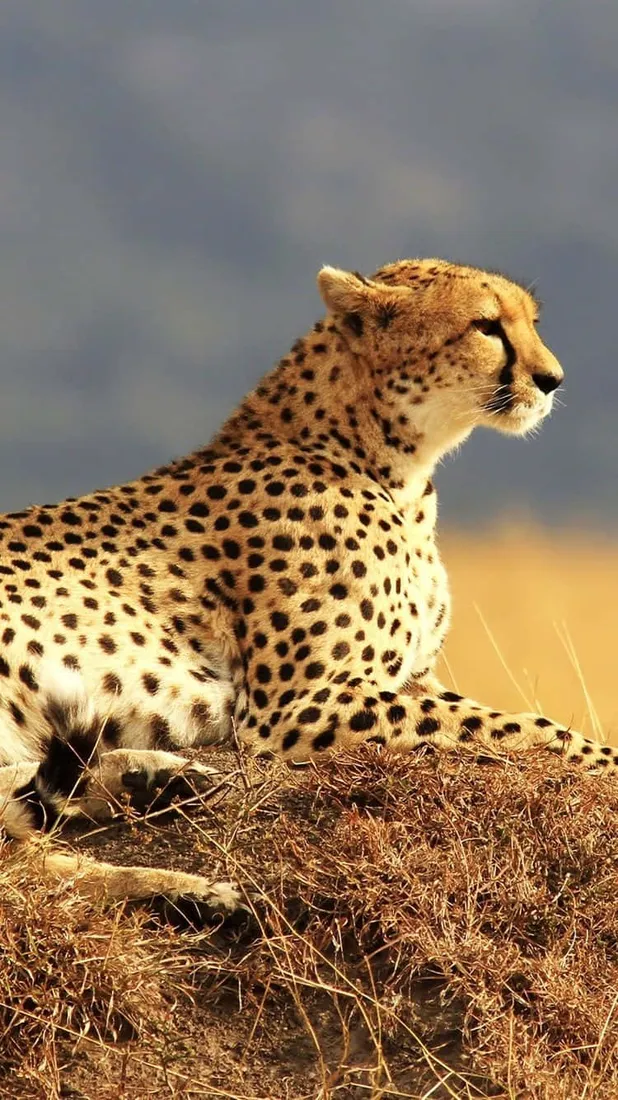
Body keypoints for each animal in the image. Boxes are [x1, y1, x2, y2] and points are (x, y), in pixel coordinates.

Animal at [1, 257, 615, 919]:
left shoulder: (409, 678)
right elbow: (521, 726)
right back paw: (187, 884)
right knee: (23, 868)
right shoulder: (296, 708)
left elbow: (499, 717)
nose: (552, 380)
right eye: (486, 326)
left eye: (530, 321)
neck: (388, 460)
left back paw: (153, 788)